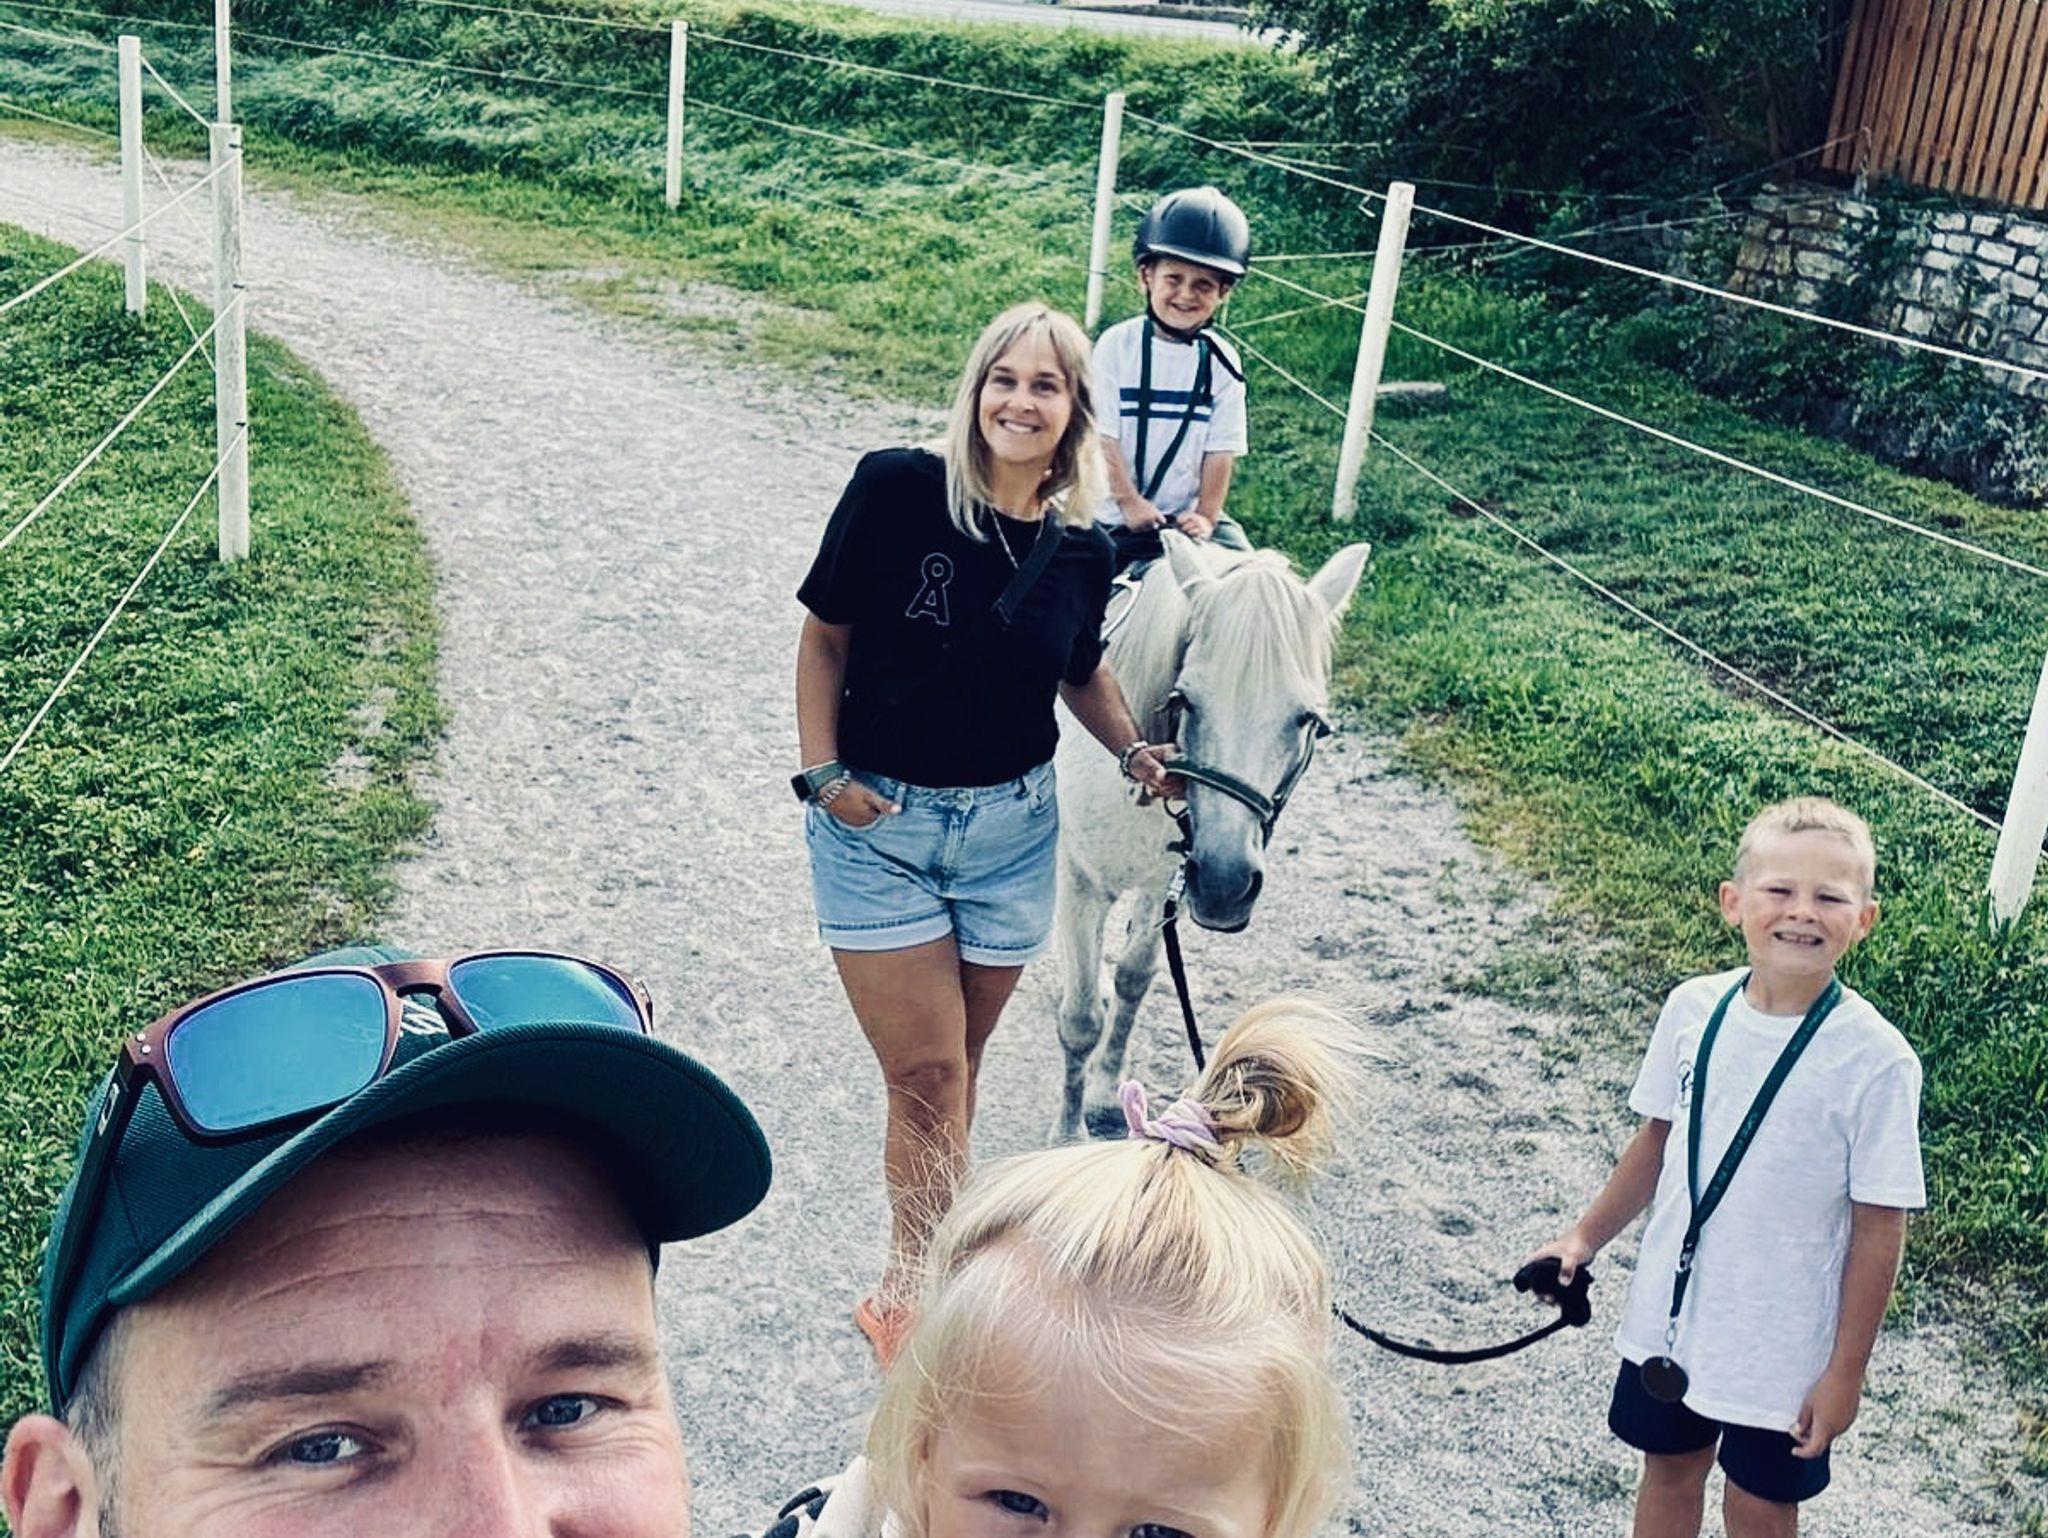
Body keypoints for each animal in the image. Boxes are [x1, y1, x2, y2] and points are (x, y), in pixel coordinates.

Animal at [1050, 528, 1372, 1141]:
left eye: (1309, 722)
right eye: (1183, 701)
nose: (1225, 885)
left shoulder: (1165, 883)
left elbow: (1134, 979)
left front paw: (1104, 1095)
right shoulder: (1080, 881)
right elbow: (1080, 1021)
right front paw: (1067, 1137)